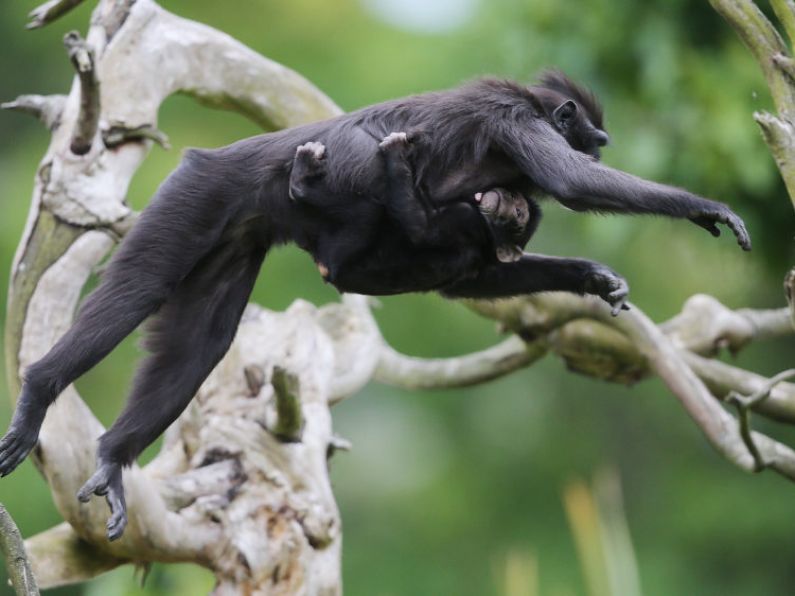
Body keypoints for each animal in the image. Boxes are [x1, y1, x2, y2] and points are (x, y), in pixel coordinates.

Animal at [0, 70, 748, 540]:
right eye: (590, 135)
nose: (600, 145)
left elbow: (467, 276)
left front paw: (590, 277)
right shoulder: (511, 119)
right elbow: (566, 184)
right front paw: (704, 209)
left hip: (235, 232)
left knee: (199, 343)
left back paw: (112, 457)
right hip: (199, 191)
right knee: (141, 290)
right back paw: (39, 391)